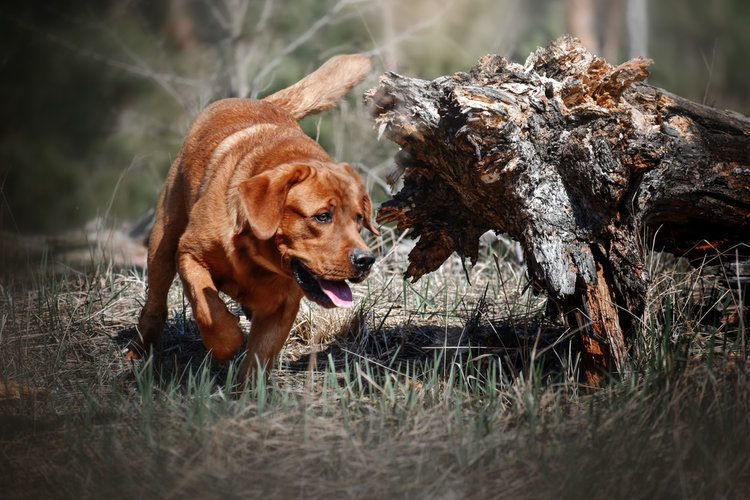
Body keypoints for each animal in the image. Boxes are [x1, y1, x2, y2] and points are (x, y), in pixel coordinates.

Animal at [127, 54, 382, 380]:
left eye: (360, 219)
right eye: (323, 216)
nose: (365, 260)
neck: (254, 255)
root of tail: (264, 101)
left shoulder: (284, 307)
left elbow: (258, 358)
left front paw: (247, 389)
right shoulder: (189, 254)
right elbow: (208, 308)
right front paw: (227, 342)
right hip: (164, 236)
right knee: (155, 301)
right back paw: (139, 349)